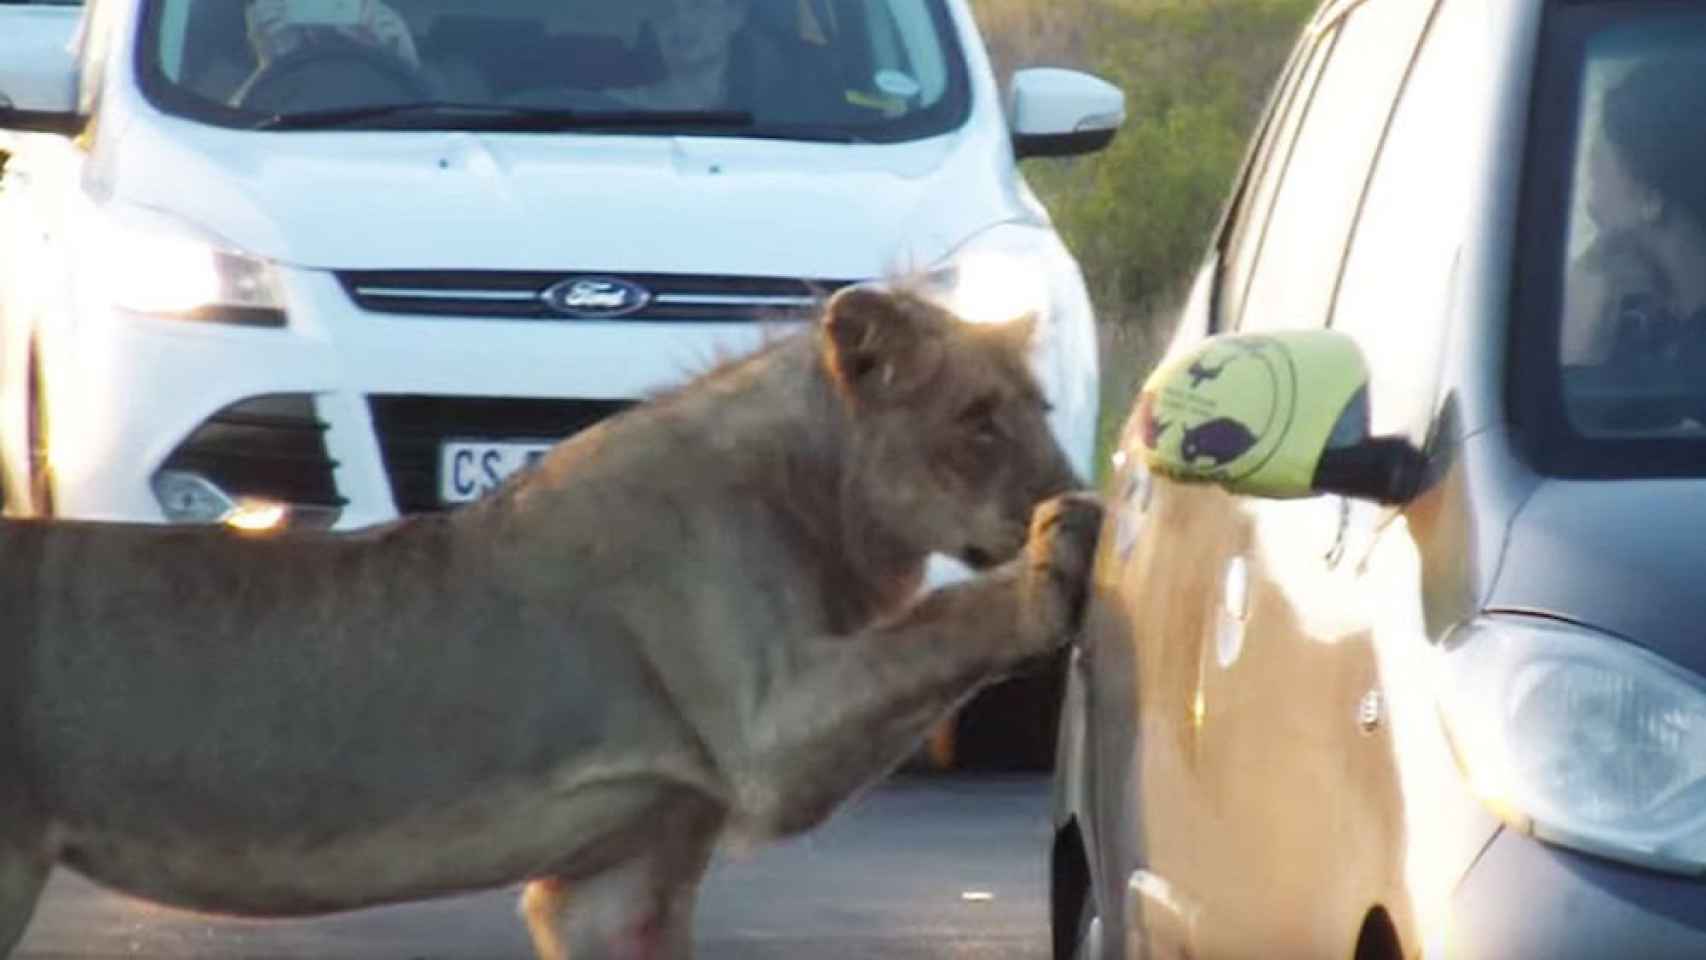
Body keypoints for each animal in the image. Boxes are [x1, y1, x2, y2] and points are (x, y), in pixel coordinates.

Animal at [0, 283, 1105, 960]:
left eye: (1043, 408)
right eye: (977, 420)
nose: (1067, 482)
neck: (818, 497)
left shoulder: (614, 884)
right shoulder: (768, 736)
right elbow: (940, 624)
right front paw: (1062, 548)